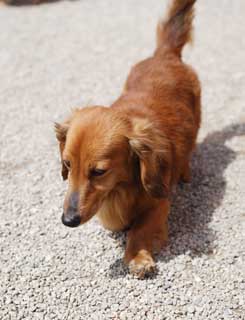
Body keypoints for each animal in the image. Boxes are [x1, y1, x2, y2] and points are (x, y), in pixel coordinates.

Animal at [55, 0, 201, 278]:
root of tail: (164, 55)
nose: (68, 221)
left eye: (99, 171)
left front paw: (138, 257)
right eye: (67, 164)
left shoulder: (159, 202)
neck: (122, 188)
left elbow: (139, 228)